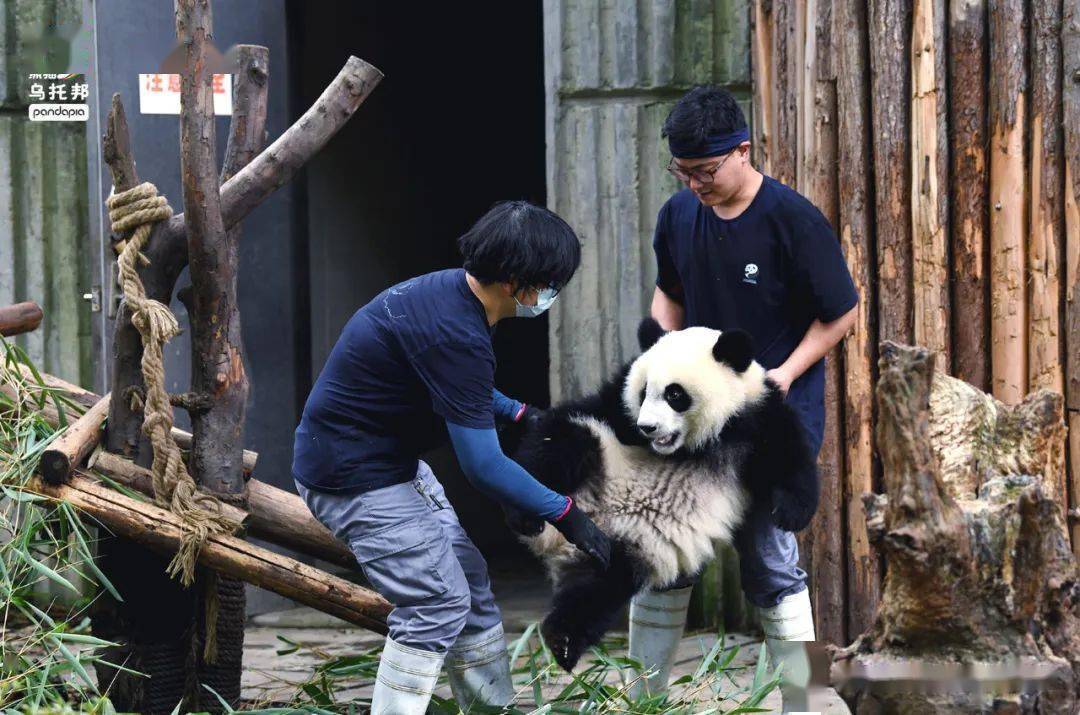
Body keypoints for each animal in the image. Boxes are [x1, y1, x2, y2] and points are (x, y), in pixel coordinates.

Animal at [509, 317, 812, 673]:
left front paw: (791, 513)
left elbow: (787, 456)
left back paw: (564, 642)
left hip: (618, 549)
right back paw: (531, 514)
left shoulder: (757, 415)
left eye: (674, 394)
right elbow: (571, 416)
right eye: (643, 393)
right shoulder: (617, 406)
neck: (694, 444)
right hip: (599, 458)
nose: (647, 427)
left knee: (598, 587)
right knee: (568, 444)